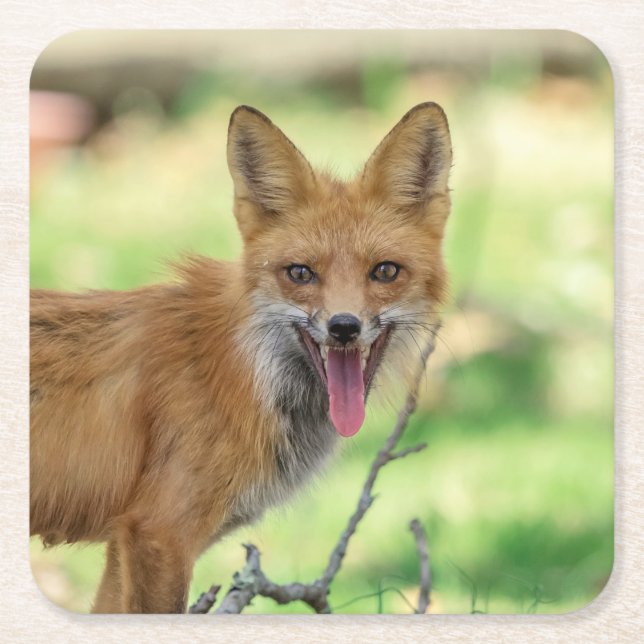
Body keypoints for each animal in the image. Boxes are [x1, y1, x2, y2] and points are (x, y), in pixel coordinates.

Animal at [30, 102, 453, 613]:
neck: (246, 373)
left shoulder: (124, 542)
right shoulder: (158, 533)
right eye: (300, 273)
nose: (344, 327)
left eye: (385, 271)